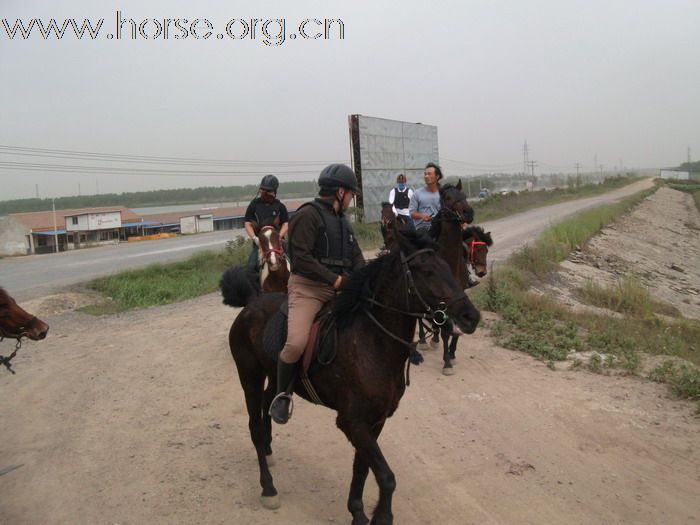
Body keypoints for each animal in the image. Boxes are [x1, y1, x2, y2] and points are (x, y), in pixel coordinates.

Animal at [221, 227, 478, 524]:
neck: (372, 342)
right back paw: (268, 487)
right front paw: (381, 516)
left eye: (448, 267)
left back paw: (270, 446)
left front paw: (357, 511)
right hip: (249, 376)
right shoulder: (353, 422)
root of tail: (251, 305)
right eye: (427, 271)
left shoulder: (375, 421)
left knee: (268, 405)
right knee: (254, 428)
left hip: (273, 377)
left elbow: (362, 468)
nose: (471, 317)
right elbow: (386, 477)